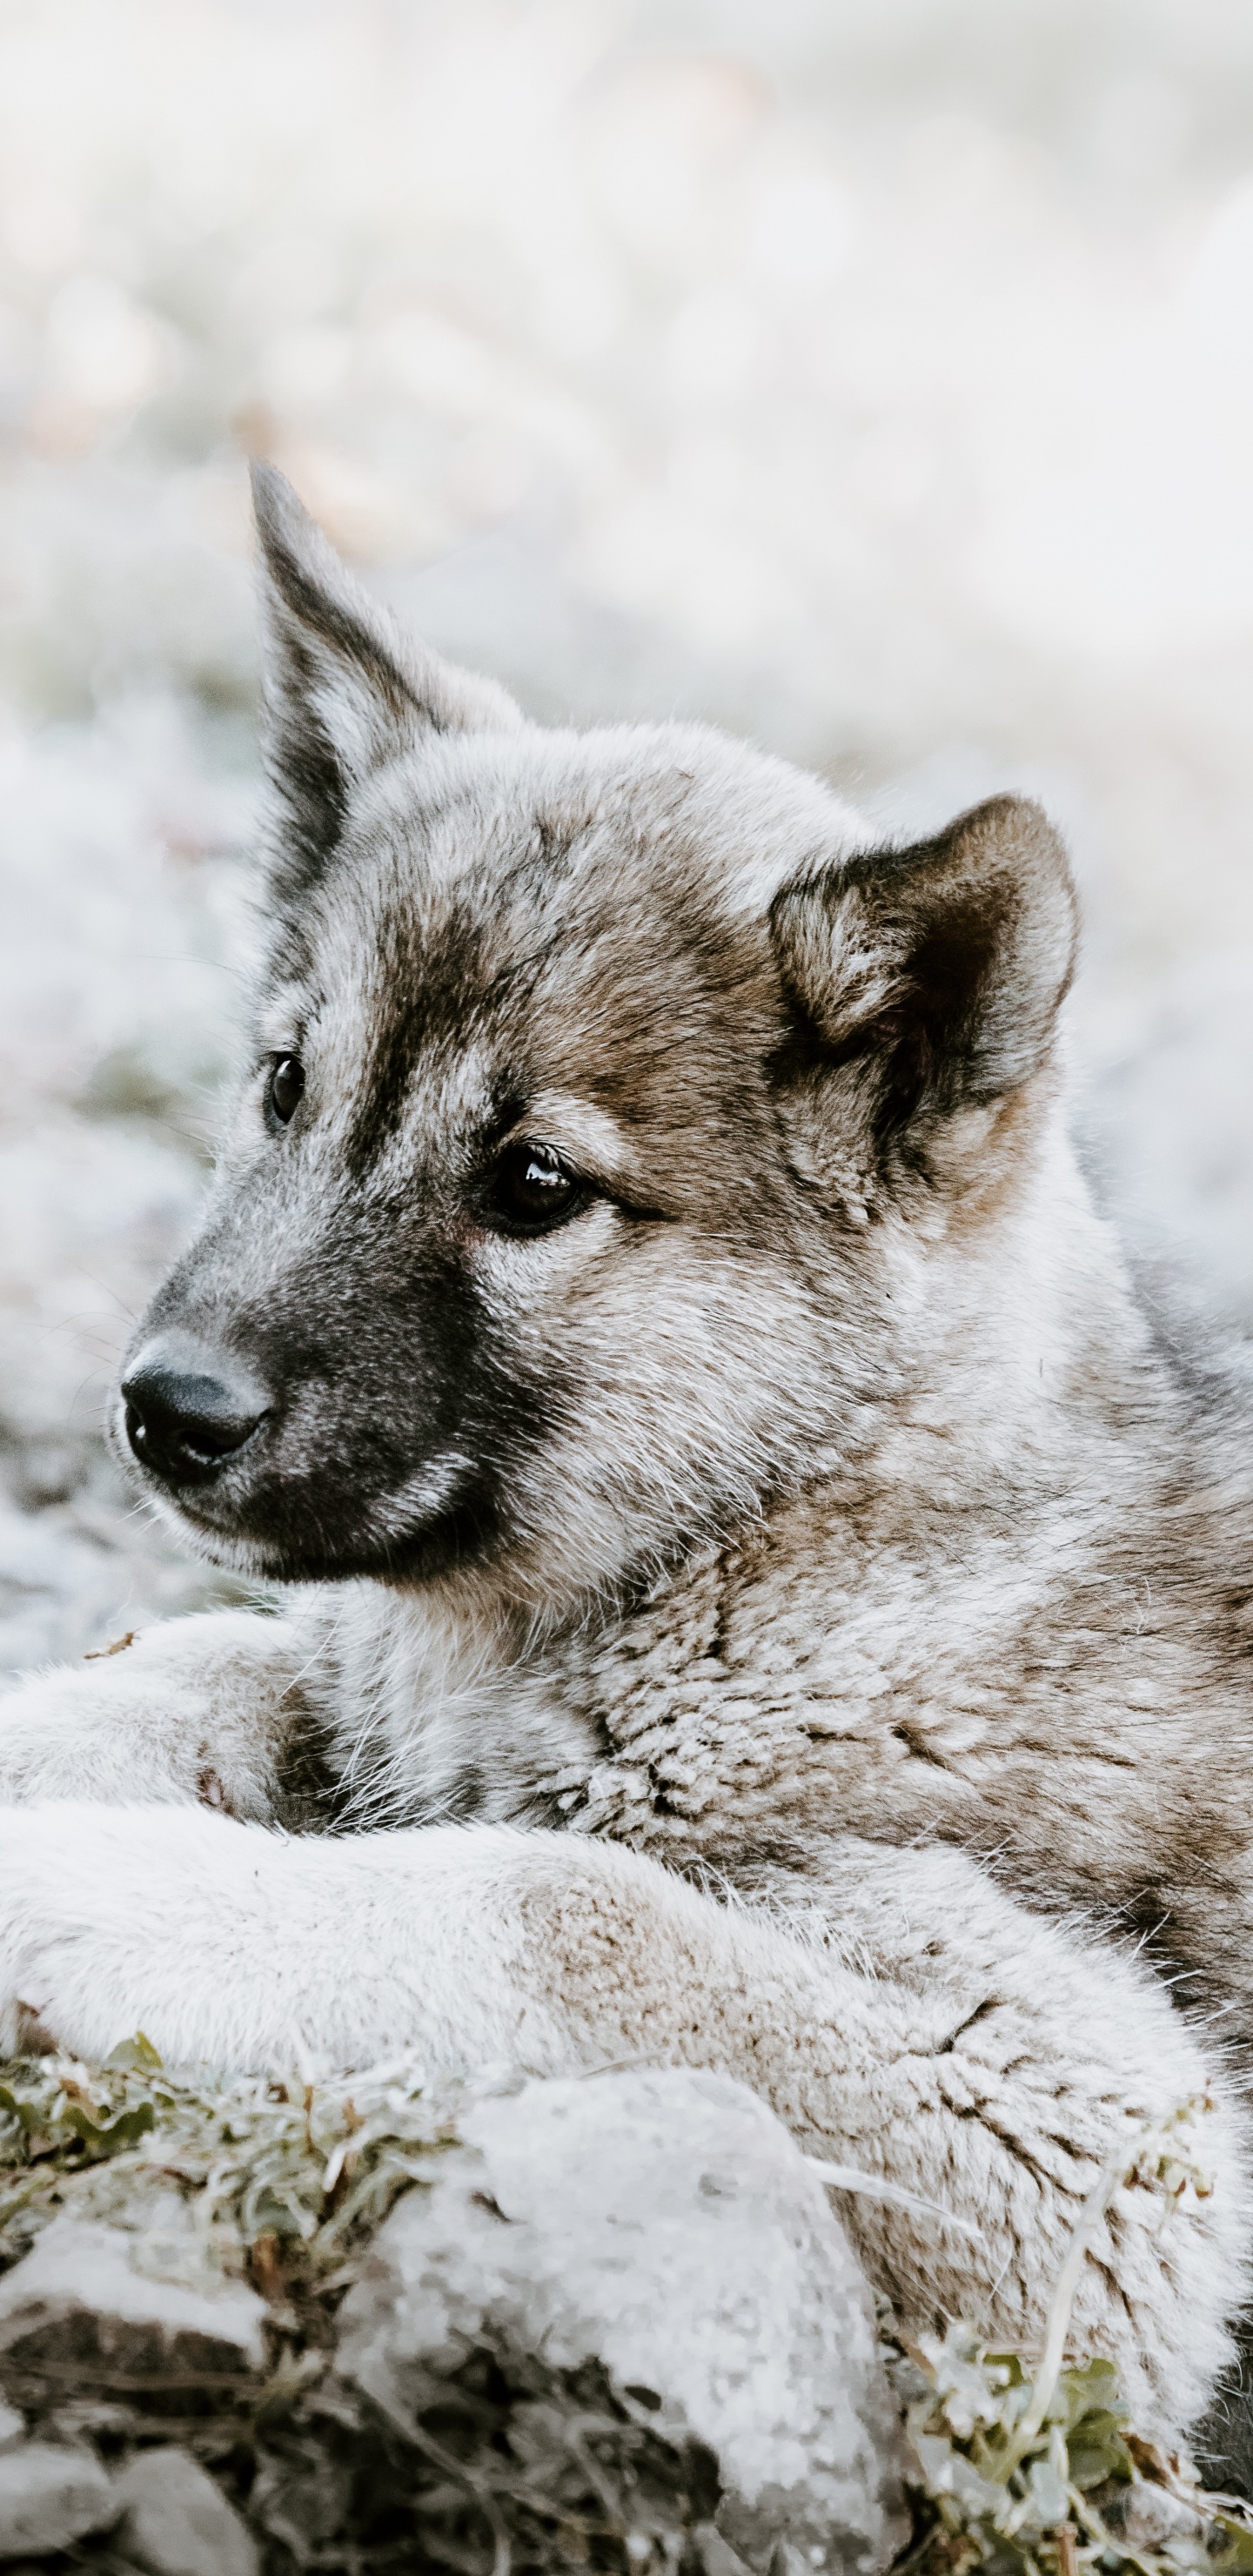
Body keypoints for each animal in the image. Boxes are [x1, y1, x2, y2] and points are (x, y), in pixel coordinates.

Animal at [2, 463, 1253, 2452]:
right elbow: (200, 1662)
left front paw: (63, 1891)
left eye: (533, 1186)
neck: (784, 1539)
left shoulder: (1089, 2127)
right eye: (283, 1088)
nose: (166, 1410)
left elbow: (557, 1897)